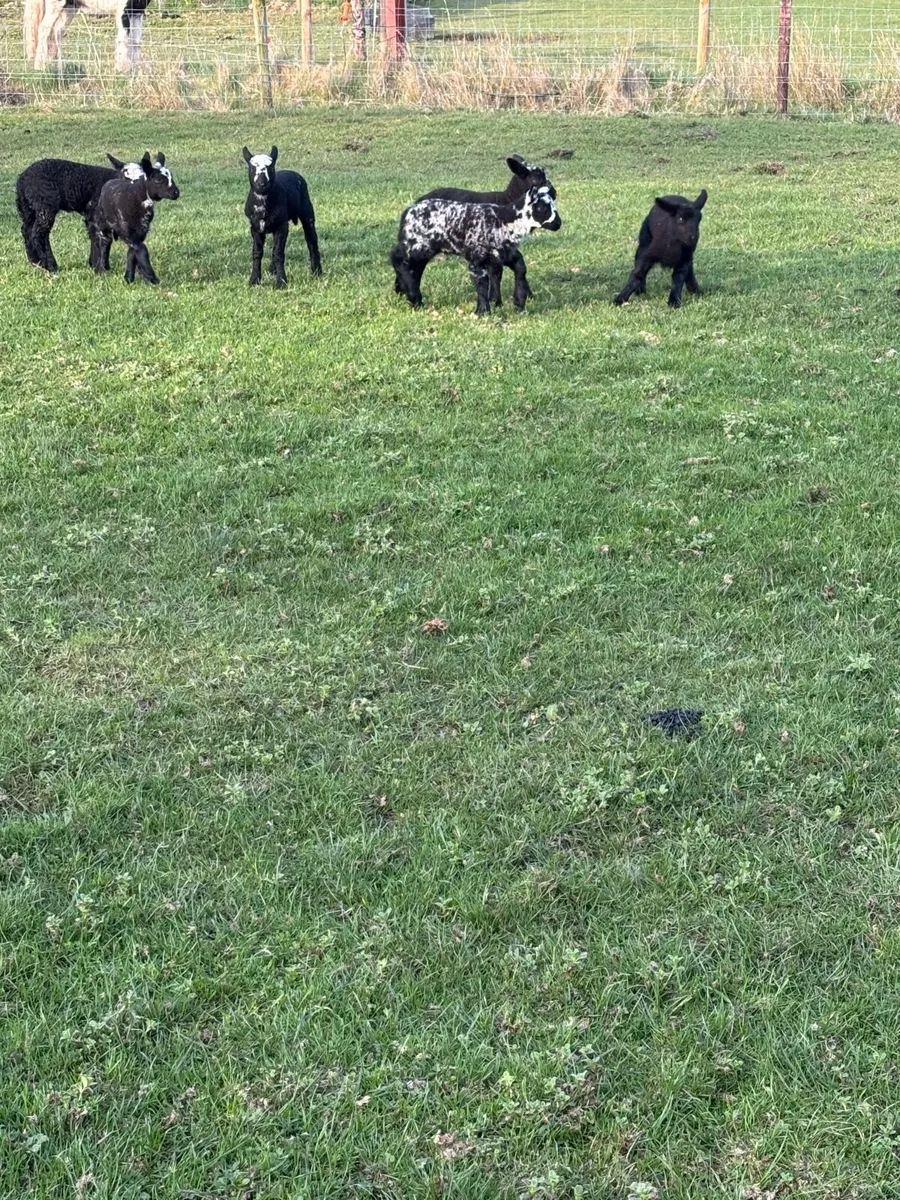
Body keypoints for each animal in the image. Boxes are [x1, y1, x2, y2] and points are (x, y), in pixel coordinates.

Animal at [91, 151, 180, 284]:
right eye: (158, 179)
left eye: (171, 177)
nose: (176, 192)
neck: (135, 195)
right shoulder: (128, 231)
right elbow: (142, 249)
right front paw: (152, 277)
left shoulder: (141, 232)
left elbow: (133, 253)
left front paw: (130, 277)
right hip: (103, 224)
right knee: (105, 243)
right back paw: (102, 268)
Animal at [242, 146, 321, 289]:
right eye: (252, 168)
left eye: (271, 168)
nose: (262, 184)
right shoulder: (255, 227)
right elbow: (257, 253)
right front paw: (254, 280)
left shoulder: (281, 226)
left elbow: (279, 253)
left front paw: (281, 282)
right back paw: (273, 269)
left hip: (307, 211)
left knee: (311, 240)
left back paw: (316, 270)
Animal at [389, 185, 561, 316]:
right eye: (542, 207)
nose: (558, 223)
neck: (503, 221)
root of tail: (407, 212)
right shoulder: (476, 258)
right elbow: (482, 282)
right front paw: (483, 311)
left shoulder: (503, 254)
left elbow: (519, 269)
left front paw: (516, 302)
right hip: (417, 244)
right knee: (397, 259)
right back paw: (413, 298)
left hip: (423, 249)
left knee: (414, 268)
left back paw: (406, 293)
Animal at [416, 155, 556, 307]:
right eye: (535, 179)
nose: (554, 193)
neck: (507, 202)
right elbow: (496, 272)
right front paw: (495, 300)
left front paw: (526, 295)